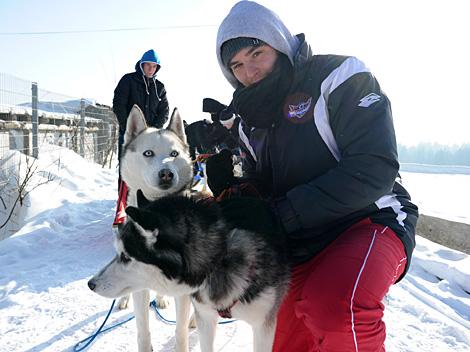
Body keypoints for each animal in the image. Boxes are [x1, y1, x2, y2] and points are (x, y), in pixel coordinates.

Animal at [86, 192, 288, 352]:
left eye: (126, 257)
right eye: (118, 253)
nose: (90, 284)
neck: (219, 258)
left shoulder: (264, 327)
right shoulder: (206, 317)